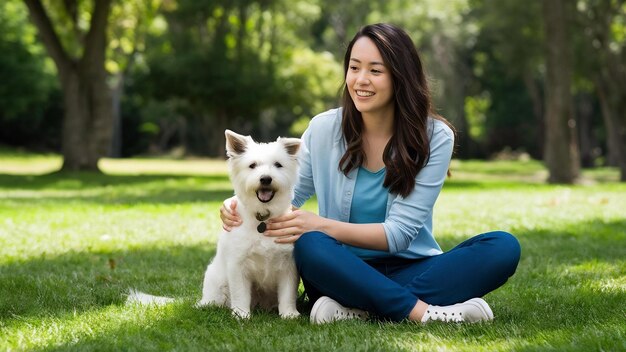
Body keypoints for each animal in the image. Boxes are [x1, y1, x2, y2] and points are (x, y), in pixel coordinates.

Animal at [196, 130, 302, 320]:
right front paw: (241, 314)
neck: (263, 218)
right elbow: (240, 294)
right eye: (252, 165)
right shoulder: (238, 265)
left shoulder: (289, 266)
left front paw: (289, 314)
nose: (266, 179)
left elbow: (287, 294)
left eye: (278, 165)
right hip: (217, 283)